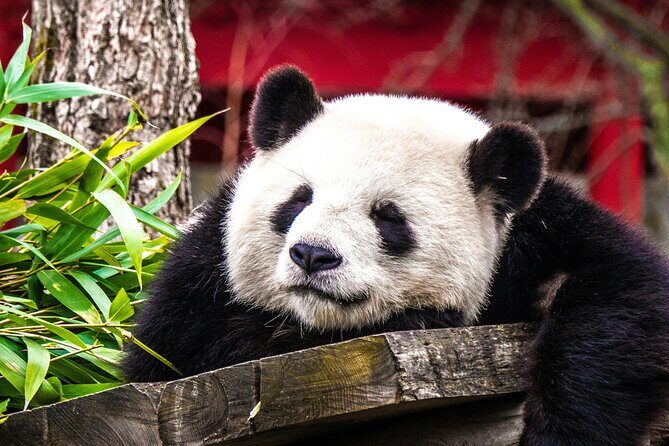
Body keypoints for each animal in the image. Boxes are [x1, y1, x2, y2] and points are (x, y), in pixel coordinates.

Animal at [123, 66, 669, 444]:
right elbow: (182, 349)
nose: (312, 255)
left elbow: (622, 293)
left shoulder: (537, 234)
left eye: (388, 217)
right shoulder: (199, 276)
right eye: (300, 199)